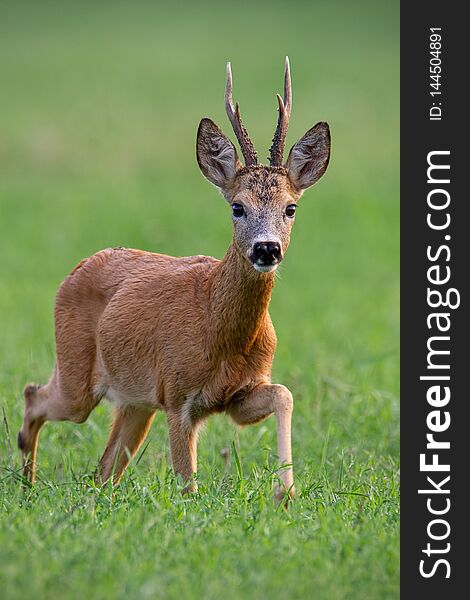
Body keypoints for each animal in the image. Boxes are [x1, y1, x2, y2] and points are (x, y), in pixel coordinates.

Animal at [18, 59, 330, 502]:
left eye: (291, 208)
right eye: (237, 206)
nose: (266, 249)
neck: (220, 331)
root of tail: (75, 269)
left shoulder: (237, 394)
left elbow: (284, 394)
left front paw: (284, 493)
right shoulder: (177, 395)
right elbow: (188, 484)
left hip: (135, 402)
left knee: (104, 470)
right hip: (78, 374)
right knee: (35, 396)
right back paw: (26, 482)